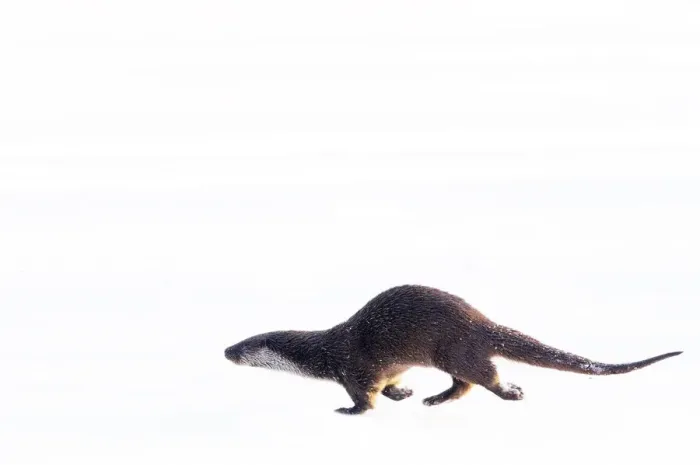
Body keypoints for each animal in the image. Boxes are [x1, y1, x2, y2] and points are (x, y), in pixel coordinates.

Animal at [224, 284, 681, 415]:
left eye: (243, 347)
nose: (225, 350)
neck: (324, 353)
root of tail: (480, 322)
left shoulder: (353, 369)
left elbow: (365, 399)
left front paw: (349, 411)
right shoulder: (390, 368)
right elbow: (391, 384)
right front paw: (403, 393)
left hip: (456, 349)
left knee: (482, 378)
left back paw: (510, 392)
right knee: (464, 385)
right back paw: (434, 398)